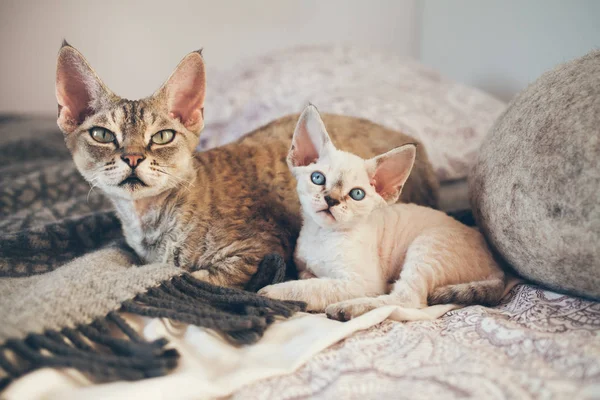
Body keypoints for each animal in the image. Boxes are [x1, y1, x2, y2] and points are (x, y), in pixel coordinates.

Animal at [55, 41, 440, 288]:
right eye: (103, 135)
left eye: (162, 136)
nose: (133, 157)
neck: (147, 221)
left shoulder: (260, 249)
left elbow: (194, 277)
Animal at [258, 104, 506, 320]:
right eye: (317, 178)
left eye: (357, 194)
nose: (331, 200)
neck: (321, 236)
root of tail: (496, 263)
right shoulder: (304, 266)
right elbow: (310, 277)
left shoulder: (361, 282)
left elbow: (314, 287)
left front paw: (275, 292)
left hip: (427, 246)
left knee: (406, 300)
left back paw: (347, 308)